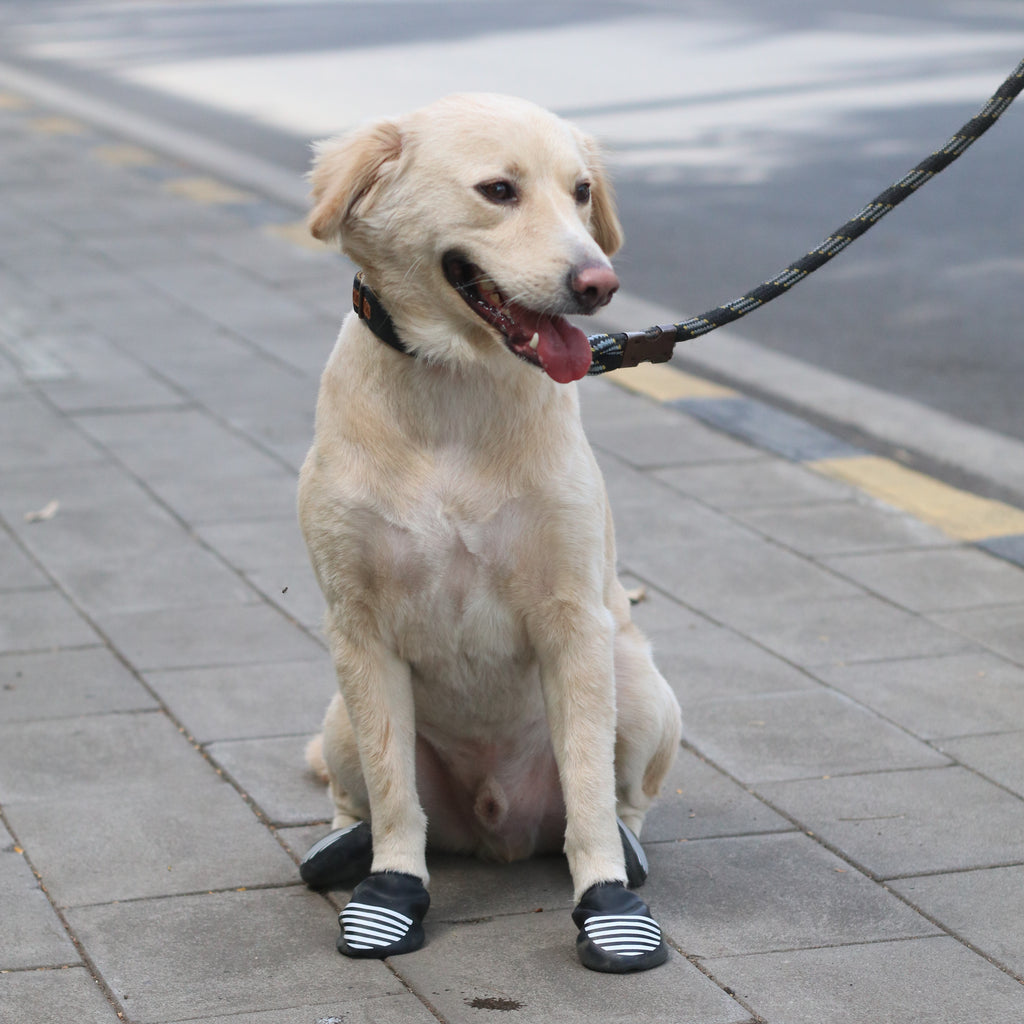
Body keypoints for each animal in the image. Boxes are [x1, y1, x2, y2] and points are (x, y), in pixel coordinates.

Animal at [296, 92, 679, 970]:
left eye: (581, 191)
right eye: (498, 190)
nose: (599, 283)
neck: (454, 390)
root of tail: (495, 825)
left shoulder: (574, 621)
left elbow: (589, 792)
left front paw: (607, 902)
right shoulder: (358, 629)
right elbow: (395, 797)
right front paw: (391, 892)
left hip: (642, 687)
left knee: (623, 802)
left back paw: (627, 854)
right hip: (337, 718)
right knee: (357, 796)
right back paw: (343, 848)